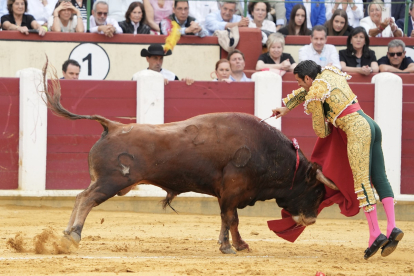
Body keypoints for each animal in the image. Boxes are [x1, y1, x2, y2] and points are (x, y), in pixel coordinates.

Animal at [41, 62, 336, 254]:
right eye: (316, 191)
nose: (311, 220)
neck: (266, 151)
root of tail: (112, 126)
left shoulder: (228, 195)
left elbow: (229, 219)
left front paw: (234, 245)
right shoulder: (232, 191)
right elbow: (231, 219)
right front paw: (232, 246)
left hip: (107, 180)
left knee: (81, 196)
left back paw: (66, 234)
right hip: (112, 180)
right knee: (86, 199)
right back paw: (73, 236)